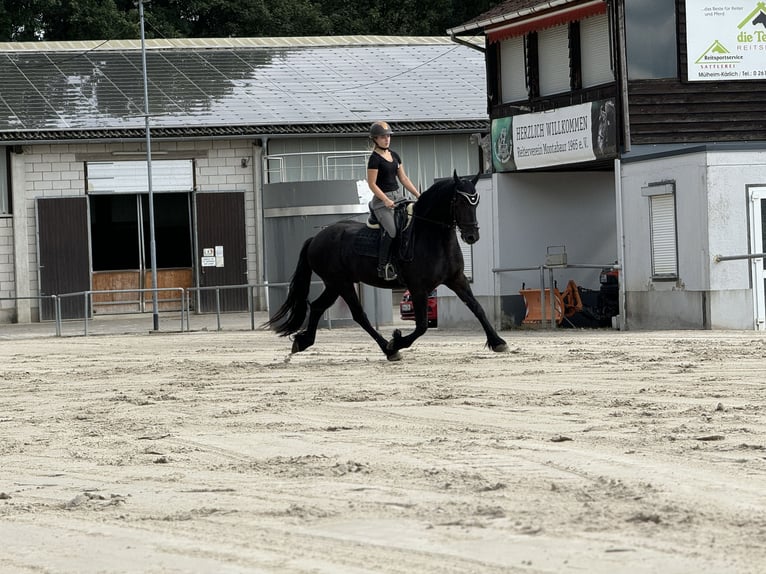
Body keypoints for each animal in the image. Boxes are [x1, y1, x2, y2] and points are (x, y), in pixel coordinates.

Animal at [264, 171, 510, 362]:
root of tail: (316, 237)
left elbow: (477, 308)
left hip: (334, 284)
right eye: (458, 202)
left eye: (476, 201)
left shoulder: (456, 279)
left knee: (316, 307)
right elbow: (422, 325)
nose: (471, 236)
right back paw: (388, 349)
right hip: (341, 283)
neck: (431, 235)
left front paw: (498, 342)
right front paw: (397, 341)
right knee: (359, 315)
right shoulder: (418, 287)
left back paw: (303, 341)